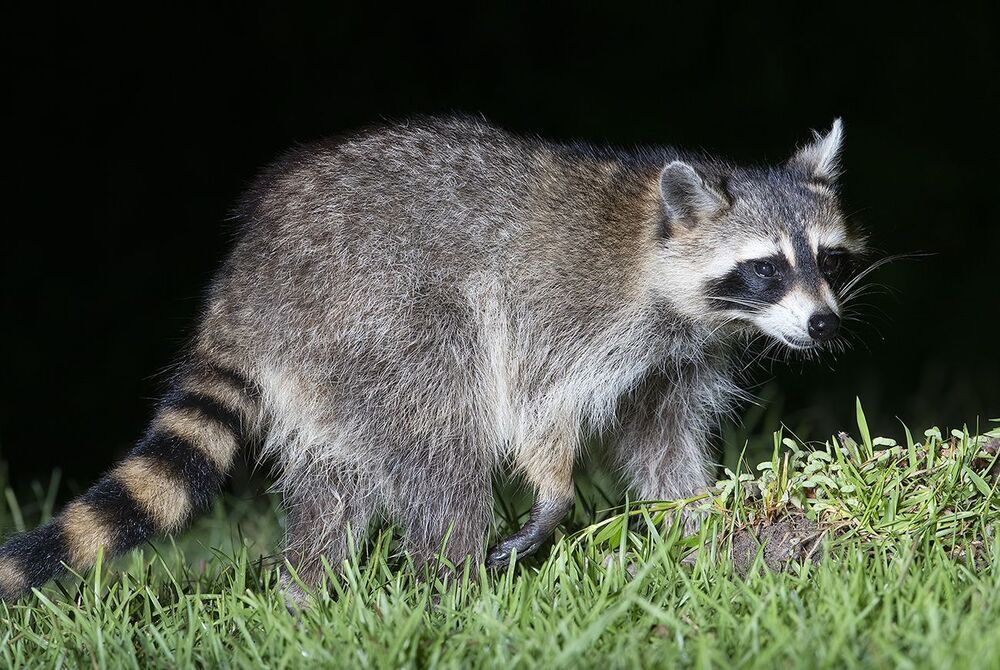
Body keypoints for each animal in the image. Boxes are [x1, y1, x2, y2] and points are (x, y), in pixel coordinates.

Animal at [0, 116, 865, 603]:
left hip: (324, 362)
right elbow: (539, 404)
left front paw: (697, 521)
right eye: (765, 269)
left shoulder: (672, 362)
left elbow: (660, 441)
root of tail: (242, 287)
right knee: (442, 428)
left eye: (828, 259)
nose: (824, 325)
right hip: (374, 310)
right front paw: (554, 493)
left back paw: (305, 592)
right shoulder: (566, 313)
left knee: (336, 482)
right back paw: (452, 584)